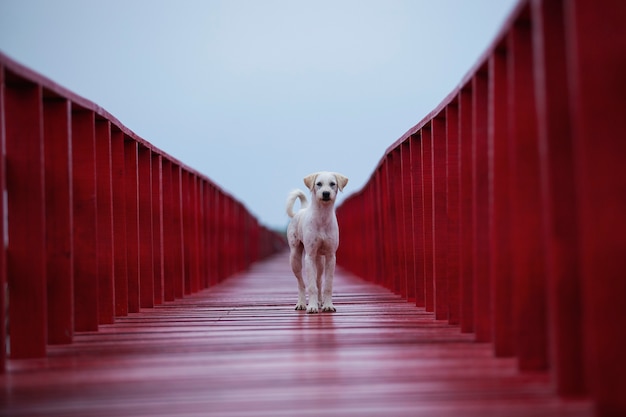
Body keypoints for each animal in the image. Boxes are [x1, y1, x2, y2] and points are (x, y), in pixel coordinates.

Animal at [284, 171, 346, 312]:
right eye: (319, 184)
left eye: (332, 184)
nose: (326, 193)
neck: (322, 218)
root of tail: (301, 210)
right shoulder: (310, 256)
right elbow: (311, 286)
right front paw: (312, 307)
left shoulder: (330, 257)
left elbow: (327, 284)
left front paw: (328, 305)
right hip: (295, 258)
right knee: (301, 283)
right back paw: (301, 303)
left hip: (320, 261)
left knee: (319, 281)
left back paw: (319, 302)